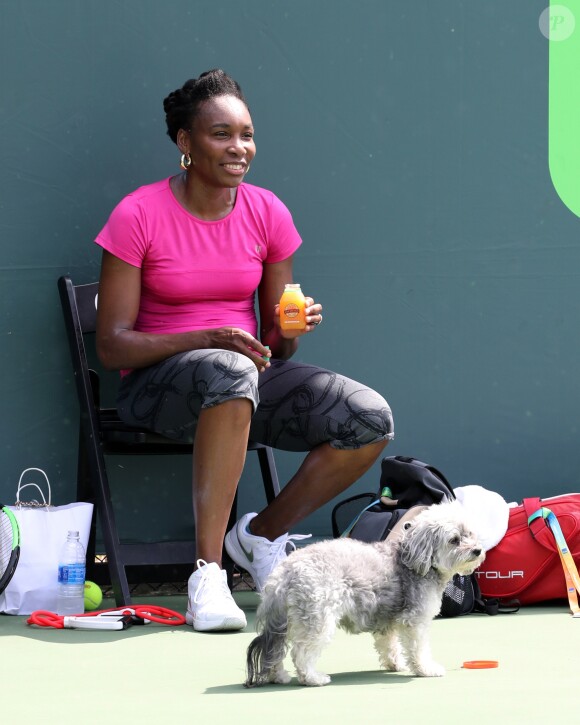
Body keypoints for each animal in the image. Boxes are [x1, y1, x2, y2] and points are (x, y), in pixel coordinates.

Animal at [245, 500, 484, 688]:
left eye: (470, 534)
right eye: (454, 540)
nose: (478, 550)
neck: (414, 560)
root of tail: (286, 571)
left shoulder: (388, 622)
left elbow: (389, 646)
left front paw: (395, 664)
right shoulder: (415, 621)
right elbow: (418, 649)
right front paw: (426, 669)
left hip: (284, 623)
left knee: (275, 652)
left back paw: (279, 676)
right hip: (317, 620)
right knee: (301, 652)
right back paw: (313, 678)